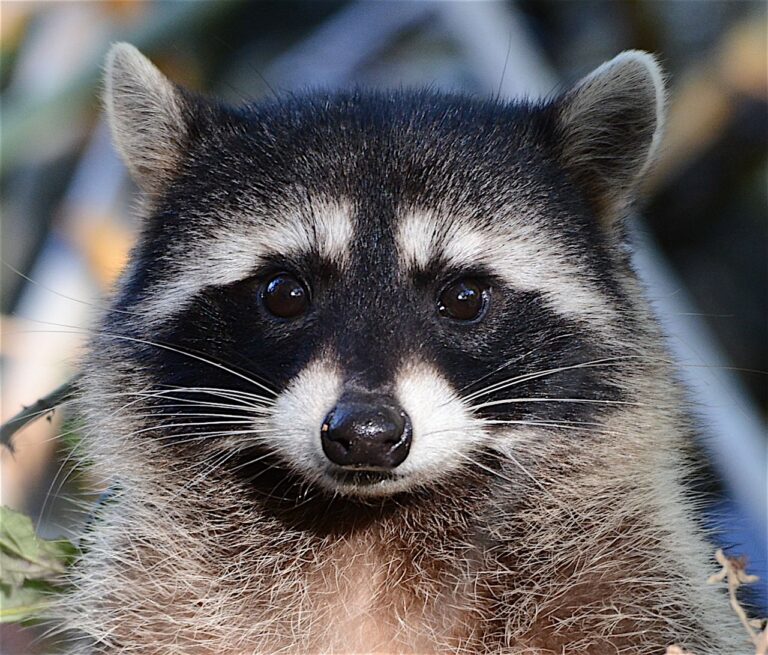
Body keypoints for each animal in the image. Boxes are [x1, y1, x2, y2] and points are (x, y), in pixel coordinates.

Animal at [53, 43, 749, 654]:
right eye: (284, 292)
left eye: (463, 297)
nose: (365, 433)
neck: (370, 532)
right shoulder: (158, 596)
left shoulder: (627, 582)